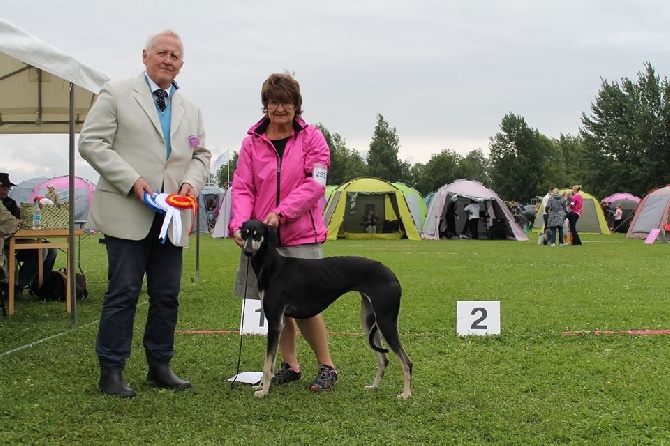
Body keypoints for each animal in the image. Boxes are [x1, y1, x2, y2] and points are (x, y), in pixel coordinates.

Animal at [239, 220, 412, 400]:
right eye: (245, 233)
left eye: (257, 234)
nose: (248, 252)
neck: (272, 265)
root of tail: (392, 275)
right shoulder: (278, 322)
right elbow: (270, 362)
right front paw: (262, 386)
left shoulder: (274, 322)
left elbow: (267, 364)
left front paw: (263, 391)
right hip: (369, 321)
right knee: (384, 360)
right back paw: (374, 387)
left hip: (386, 321)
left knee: (407, 362)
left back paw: (405, 394)